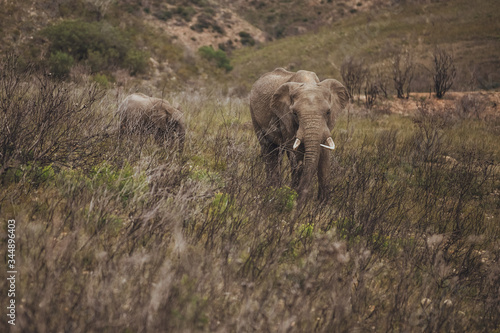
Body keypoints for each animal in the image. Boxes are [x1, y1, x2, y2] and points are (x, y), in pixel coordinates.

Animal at [249, 67, 348, 202]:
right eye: (294, 113)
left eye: (328, 112)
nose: (301, 199)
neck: (309, 83)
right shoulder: (285, 118)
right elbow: (296, 154)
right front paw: (294, 196)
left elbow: (324, 157)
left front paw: (323, 203)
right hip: (254, 114)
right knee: (269, 150)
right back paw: (272, 191)